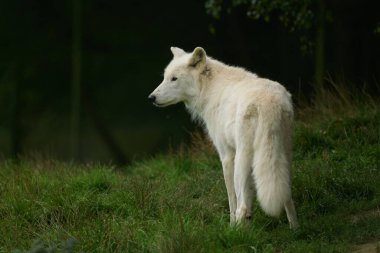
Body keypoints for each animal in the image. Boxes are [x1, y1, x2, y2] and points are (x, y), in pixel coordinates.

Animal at [150, 47, 298, 227]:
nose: (151, 98)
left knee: (242, 206)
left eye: (174, 79)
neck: (208, 88)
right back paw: (296, 230)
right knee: (287, 197)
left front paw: (231, 226)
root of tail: (268, 103)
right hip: (283, 155)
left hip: (242, 161)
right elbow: (249, 198)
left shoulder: (226, 156)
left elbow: (232, 200)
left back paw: (235, 231)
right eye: (165, 77)